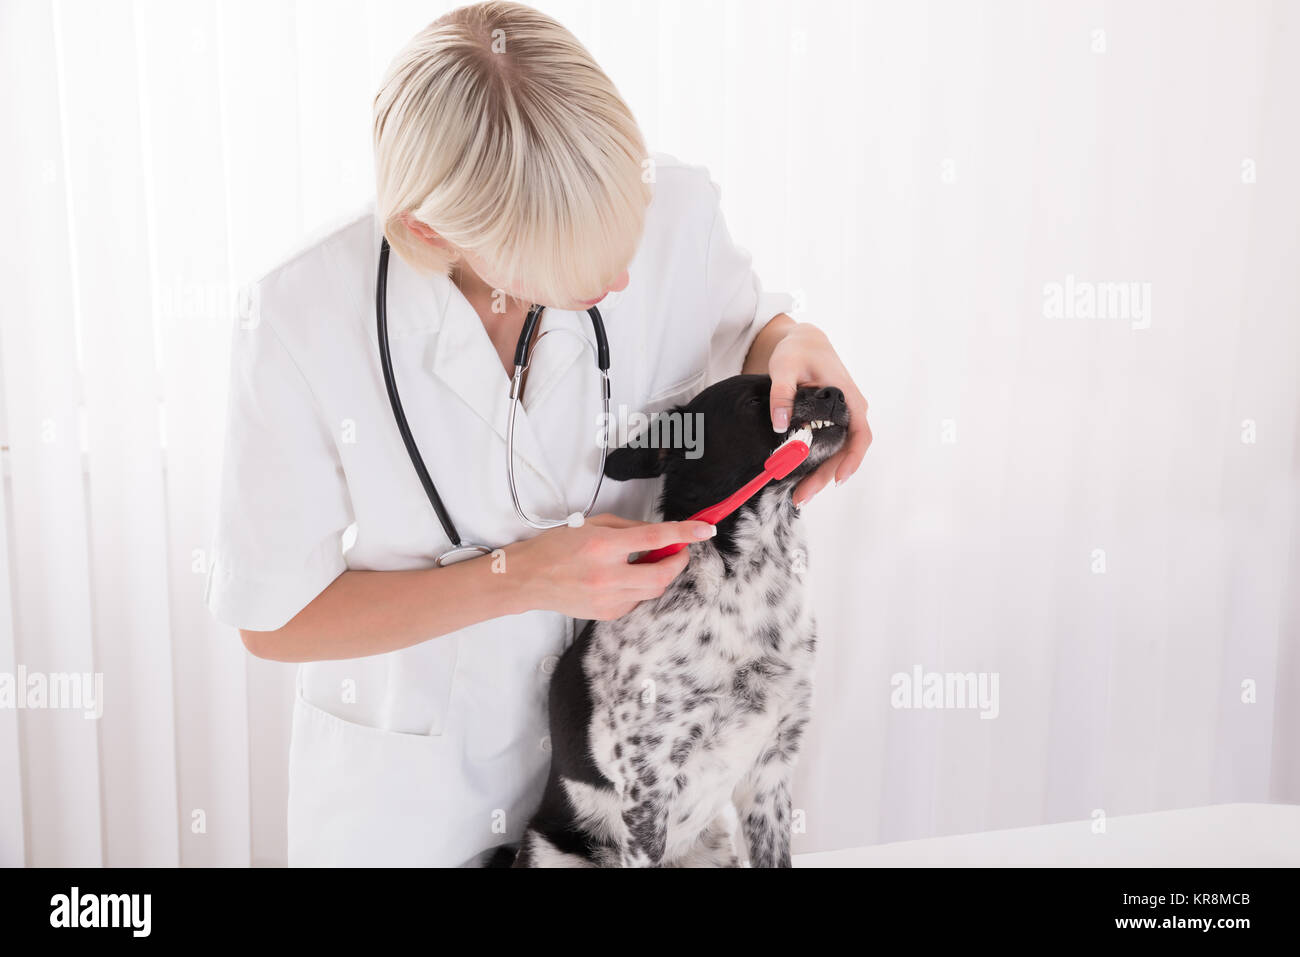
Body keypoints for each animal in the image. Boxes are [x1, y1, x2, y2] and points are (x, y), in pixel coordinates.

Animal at [501, 374, 847, 868]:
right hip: (555, 851)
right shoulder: (648, 786)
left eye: (798, 379)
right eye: (751, 401)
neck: (746, 581)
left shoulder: (772, 770)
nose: (836, 392)